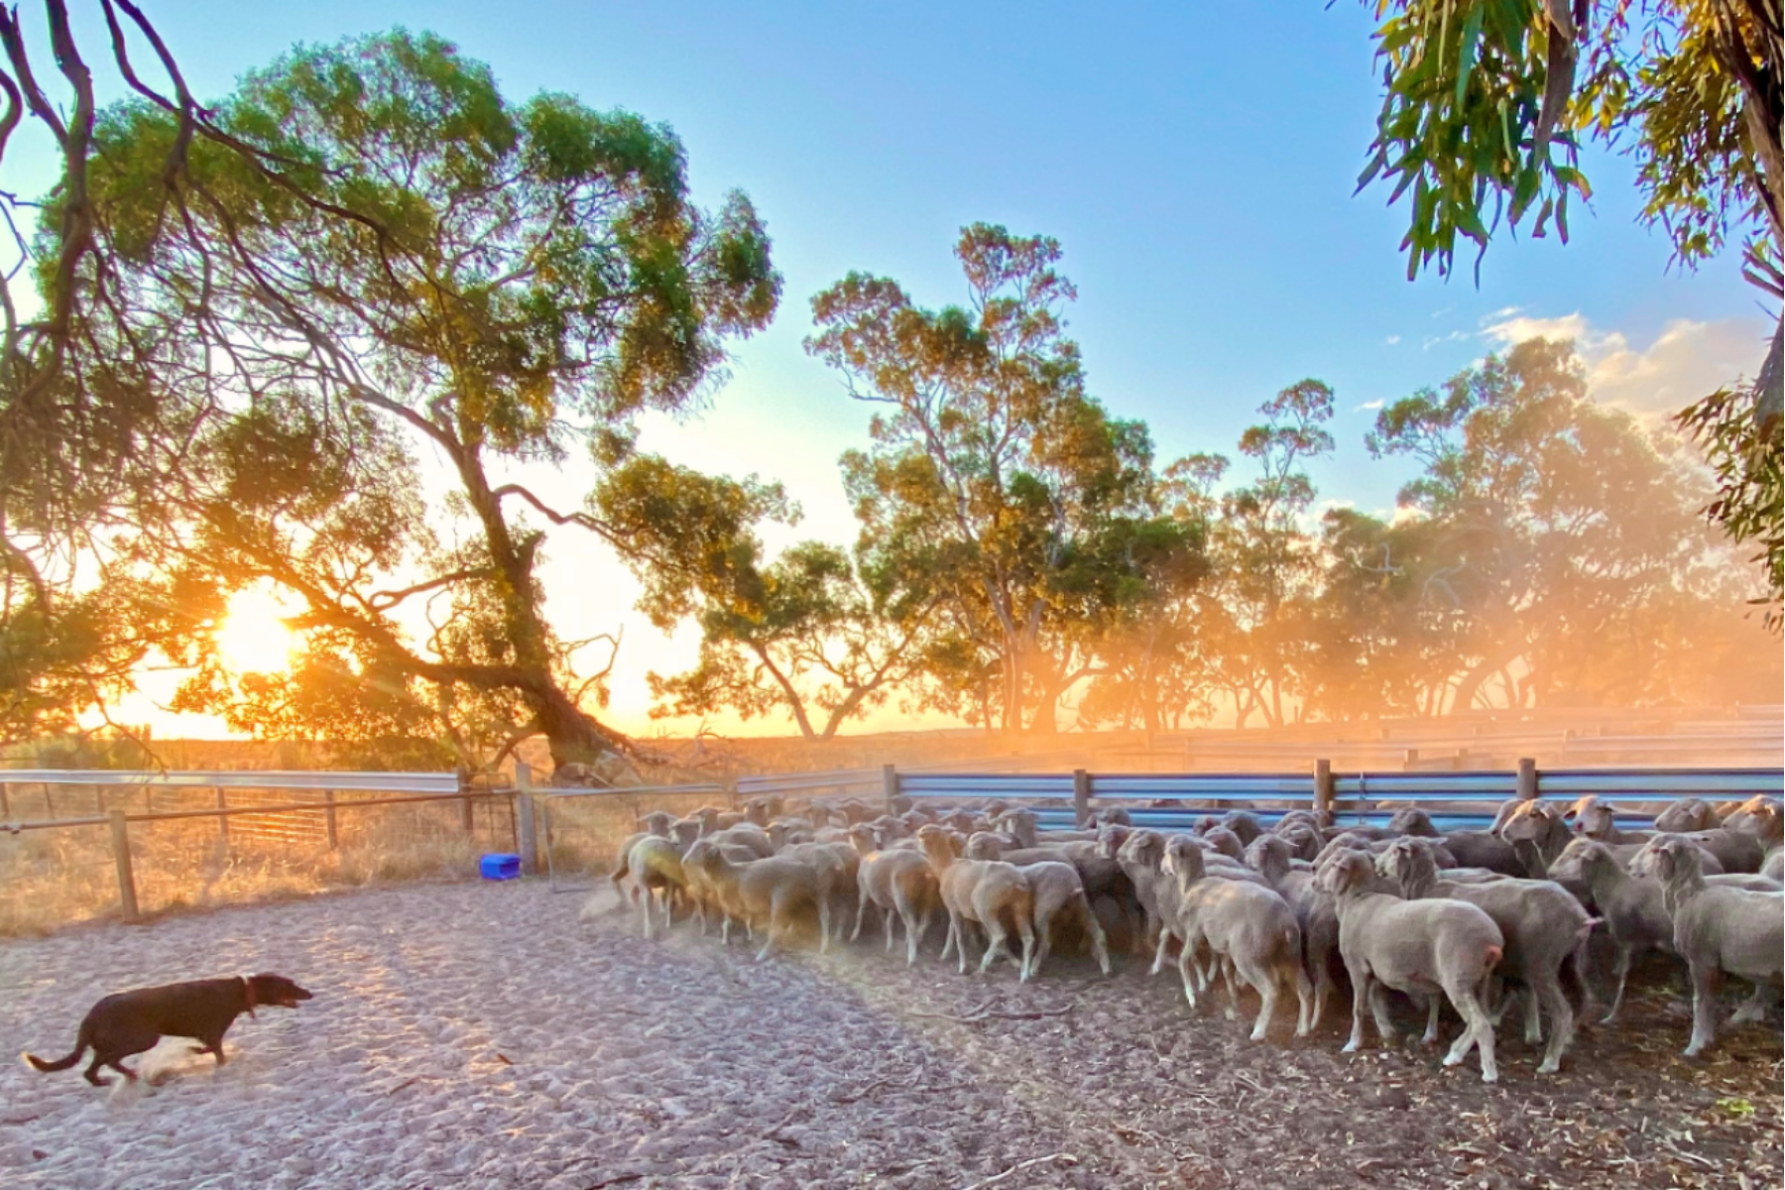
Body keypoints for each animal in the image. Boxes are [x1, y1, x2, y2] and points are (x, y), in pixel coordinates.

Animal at [23, 970, 314, 1084]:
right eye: (290, 985)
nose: (311, 993)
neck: (241, 990)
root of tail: (91, 1015)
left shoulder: (208, 1034)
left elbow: (209, 1049)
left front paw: (196, 1053)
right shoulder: (212, 1031)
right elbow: (214, 1051)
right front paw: (201, 1056)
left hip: (112, 1043)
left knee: (93, 1067)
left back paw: (117, 1079)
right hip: (142, 1038)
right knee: (106, 1062)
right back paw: (126, 1077)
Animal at [921, 824, 1035, 984]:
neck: (946, 866)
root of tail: (1016, 880)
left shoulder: (954, 908)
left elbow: (959, 936)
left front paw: (962, 966)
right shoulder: (955, 908)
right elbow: (951, 930)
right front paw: (945, 954)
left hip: (984, 907)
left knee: (999, 934)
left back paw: (983, 965)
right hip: (1020, 907)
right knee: (1028, 938)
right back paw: (1025, 974)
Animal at [1163, 838, 1320, 1041]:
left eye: (1167, 854)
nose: (1162, 868)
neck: (1192, 883)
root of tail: (1285, 922)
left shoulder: (1194, 931)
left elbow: (1184, 960)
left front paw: (1191, 996)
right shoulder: (1224, 946)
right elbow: (1225, 970)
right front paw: (1232, 996)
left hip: (1249, 955)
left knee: (1271, 991)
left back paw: (1259, 1031)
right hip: (1289, 955)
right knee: (1306, 988)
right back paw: (1302, 1029)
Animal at [1378, 838, 1592, 1077]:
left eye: (1394, 850)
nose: (1377, 864)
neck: (1426, 886)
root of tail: (1580, 916)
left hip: (1541, 962)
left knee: (1561, 1011)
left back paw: (1550, 1061)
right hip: (1570, 960)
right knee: (1582, 997)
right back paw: (1567, 1041)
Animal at [1642, 834, 1785, 1056]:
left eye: (1655, 850)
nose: (1632, 869)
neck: (1690, 896)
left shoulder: (1702, 960)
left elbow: (1701, 1003)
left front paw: (1695, 1045)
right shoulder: (1716, 965)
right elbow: (1711, 1002)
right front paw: (1708, 1036)